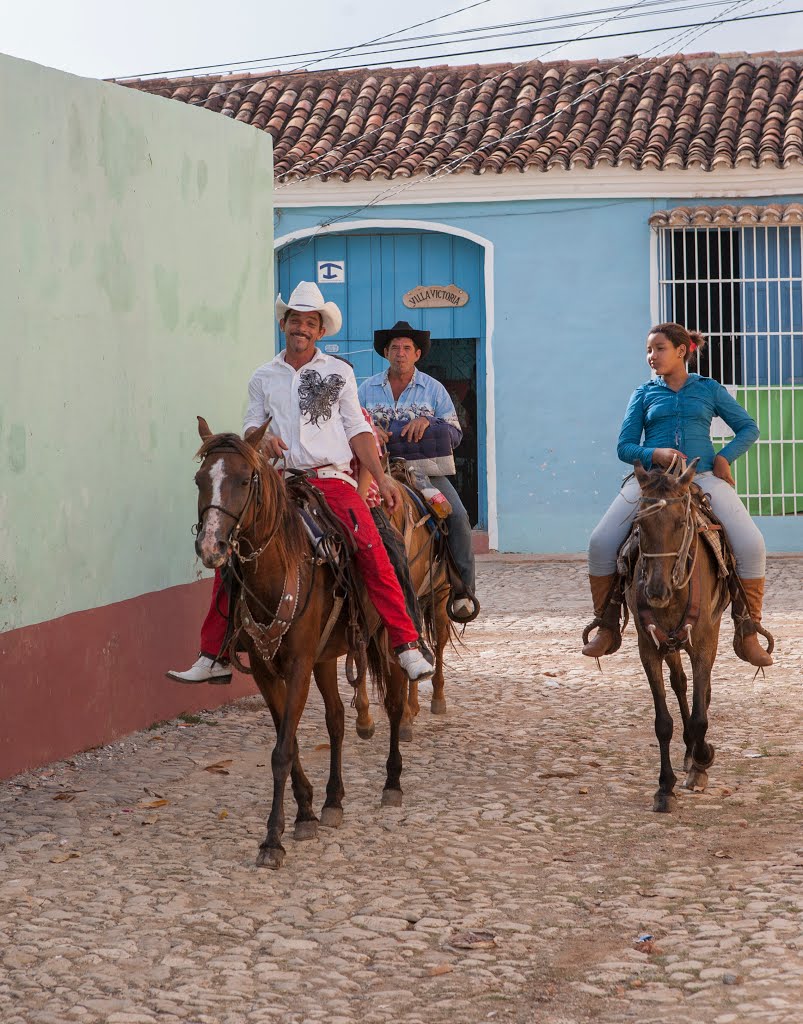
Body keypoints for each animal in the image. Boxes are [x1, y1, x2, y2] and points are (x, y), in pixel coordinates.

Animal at [194, 419, 407, 868]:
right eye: (200, 479)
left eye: (244, 479)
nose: (211, 547)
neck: (275, 571)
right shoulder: (266, 668)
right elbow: (287, 740)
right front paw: (306, 810)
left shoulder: (297, 666)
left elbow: (280, 752)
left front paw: (272, 840)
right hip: (325, 658)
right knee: (337, 719)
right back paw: (333, 801)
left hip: (382, 639)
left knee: (396, 701)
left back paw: (392, 783)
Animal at [626, 460, 733, 811]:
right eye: (639, 524)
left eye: (681, 522)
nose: (656, 591)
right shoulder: (648, 647)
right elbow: (662, 722)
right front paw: (664, 787)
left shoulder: (703, 644)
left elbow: (701, 716)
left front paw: (702, 760)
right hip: (670, 645)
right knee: (680, 683)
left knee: (703, 691)